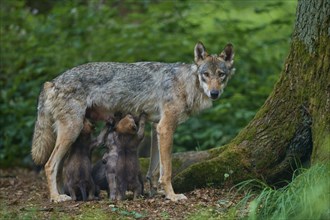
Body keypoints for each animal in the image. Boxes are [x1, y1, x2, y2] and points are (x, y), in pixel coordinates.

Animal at [29, 41, 233, 203]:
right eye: (206, 74)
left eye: (221, 74)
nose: (215, 93)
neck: (186, 84)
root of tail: (51, 82)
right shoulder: (166, 128)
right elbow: (167, 170)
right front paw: (172, 196)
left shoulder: (156, 128)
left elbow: (154, 171)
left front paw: (156, 193)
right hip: (72, 131)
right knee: (49, 165)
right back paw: (56, 198)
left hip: (70, 134)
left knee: (57, 167)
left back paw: (63, 194)